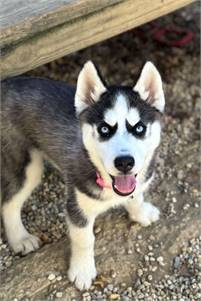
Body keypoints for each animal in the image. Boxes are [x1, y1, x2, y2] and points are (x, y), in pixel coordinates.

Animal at [0, 61, 165, 288]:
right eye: (104, 129)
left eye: (139, 128)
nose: (124, 162)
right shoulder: (77, 206)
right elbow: (85, 240)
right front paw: (82, 270)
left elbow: (136, 197)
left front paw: (140, 213)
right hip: (26, 166)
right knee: (9, 203)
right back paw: (20, 239)